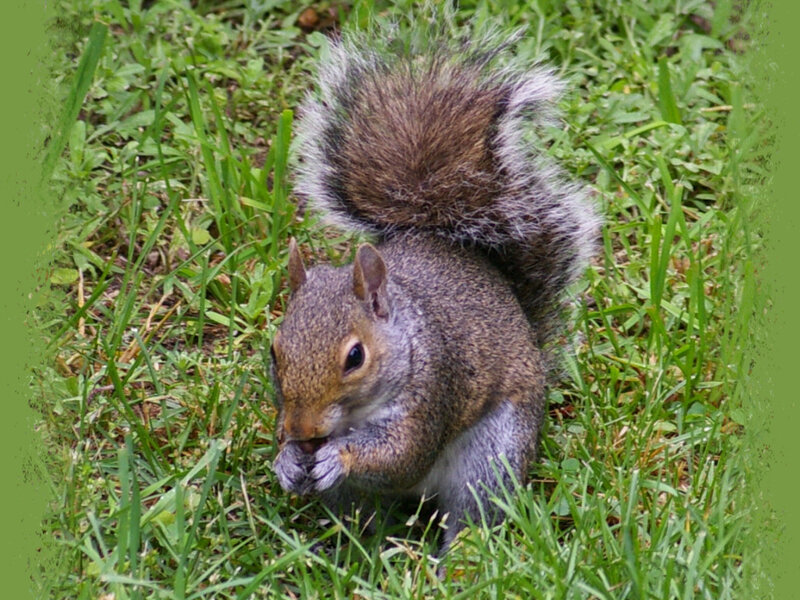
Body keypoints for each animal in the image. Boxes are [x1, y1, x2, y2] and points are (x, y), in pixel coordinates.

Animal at [269, 25, 600, 551]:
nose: (301, 431)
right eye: (274, 352)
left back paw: (454, 559)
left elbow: (401, 455)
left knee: (473, 514)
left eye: (355, 357)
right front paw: (286, 461)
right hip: (357, 499)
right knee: (365, 522)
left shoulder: (434, 389)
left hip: (492, 457)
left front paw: (338, 455)